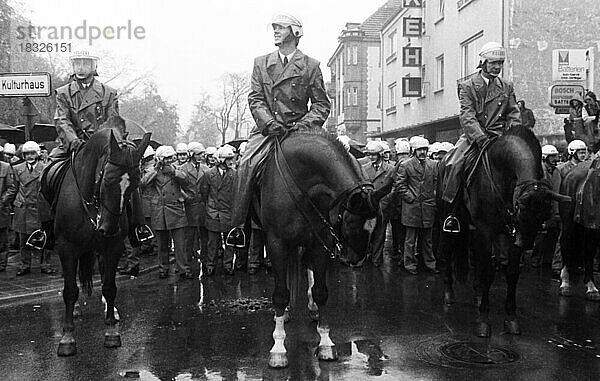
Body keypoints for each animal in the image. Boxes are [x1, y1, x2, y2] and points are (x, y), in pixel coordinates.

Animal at [50, 117, 151, 354]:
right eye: (107, 180)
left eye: (134, 184)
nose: (108, 228)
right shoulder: (66, 247)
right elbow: (70, 290)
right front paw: (67, 338)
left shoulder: (113, 246)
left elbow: (109, 286)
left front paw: (112, 331)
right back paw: (76, 309)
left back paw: (110, 310)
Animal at [258, 130, 376, 366]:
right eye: (351, 222)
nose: (358, 259)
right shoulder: (276, 242)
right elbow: (280, 294)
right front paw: (278, 348)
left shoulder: (321, 240)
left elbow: (321, 291)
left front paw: (326, 342)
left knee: (307, 267)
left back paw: (312, 308)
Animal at [442, 126, 568, 336]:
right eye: (522, 211)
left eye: (543, 216)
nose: (527, 244)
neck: (501, 171)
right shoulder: (486, 230)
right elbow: (488, 272)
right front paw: (483, 320)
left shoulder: (508, 234)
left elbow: (511, 273)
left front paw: (511, 317)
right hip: (448, 220)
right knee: (446, 251)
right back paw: (448, 292)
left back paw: (477, 293)